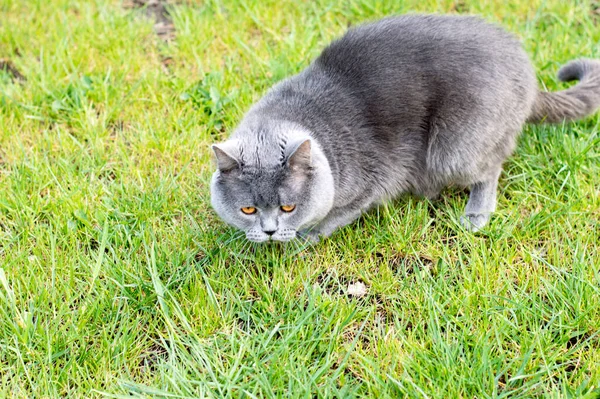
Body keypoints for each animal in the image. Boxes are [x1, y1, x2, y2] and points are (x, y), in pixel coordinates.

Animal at [210, 14, 600, 244]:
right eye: (248, 210)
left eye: (289, 207)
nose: (270, 231)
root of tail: (528, 73)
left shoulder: (372, 182)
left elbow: (333, 216)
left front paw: (304, 238)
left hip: (454, 147)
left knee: (491, 167)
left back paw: (475, 215)